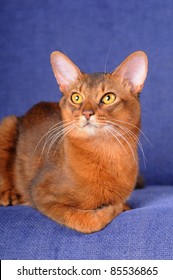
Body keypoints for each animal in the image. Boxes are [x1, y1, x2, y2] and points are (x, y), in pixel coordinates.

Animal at [0, 50, 149, 234]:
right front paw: (114, 208)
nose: (87, 113)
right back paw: (9, 194)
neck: (104, 152)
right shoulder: (41, 193)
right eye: (76, 97)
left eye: (108, 98)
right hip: (7, 124)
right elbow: (86, 221)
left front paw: (122, 205)